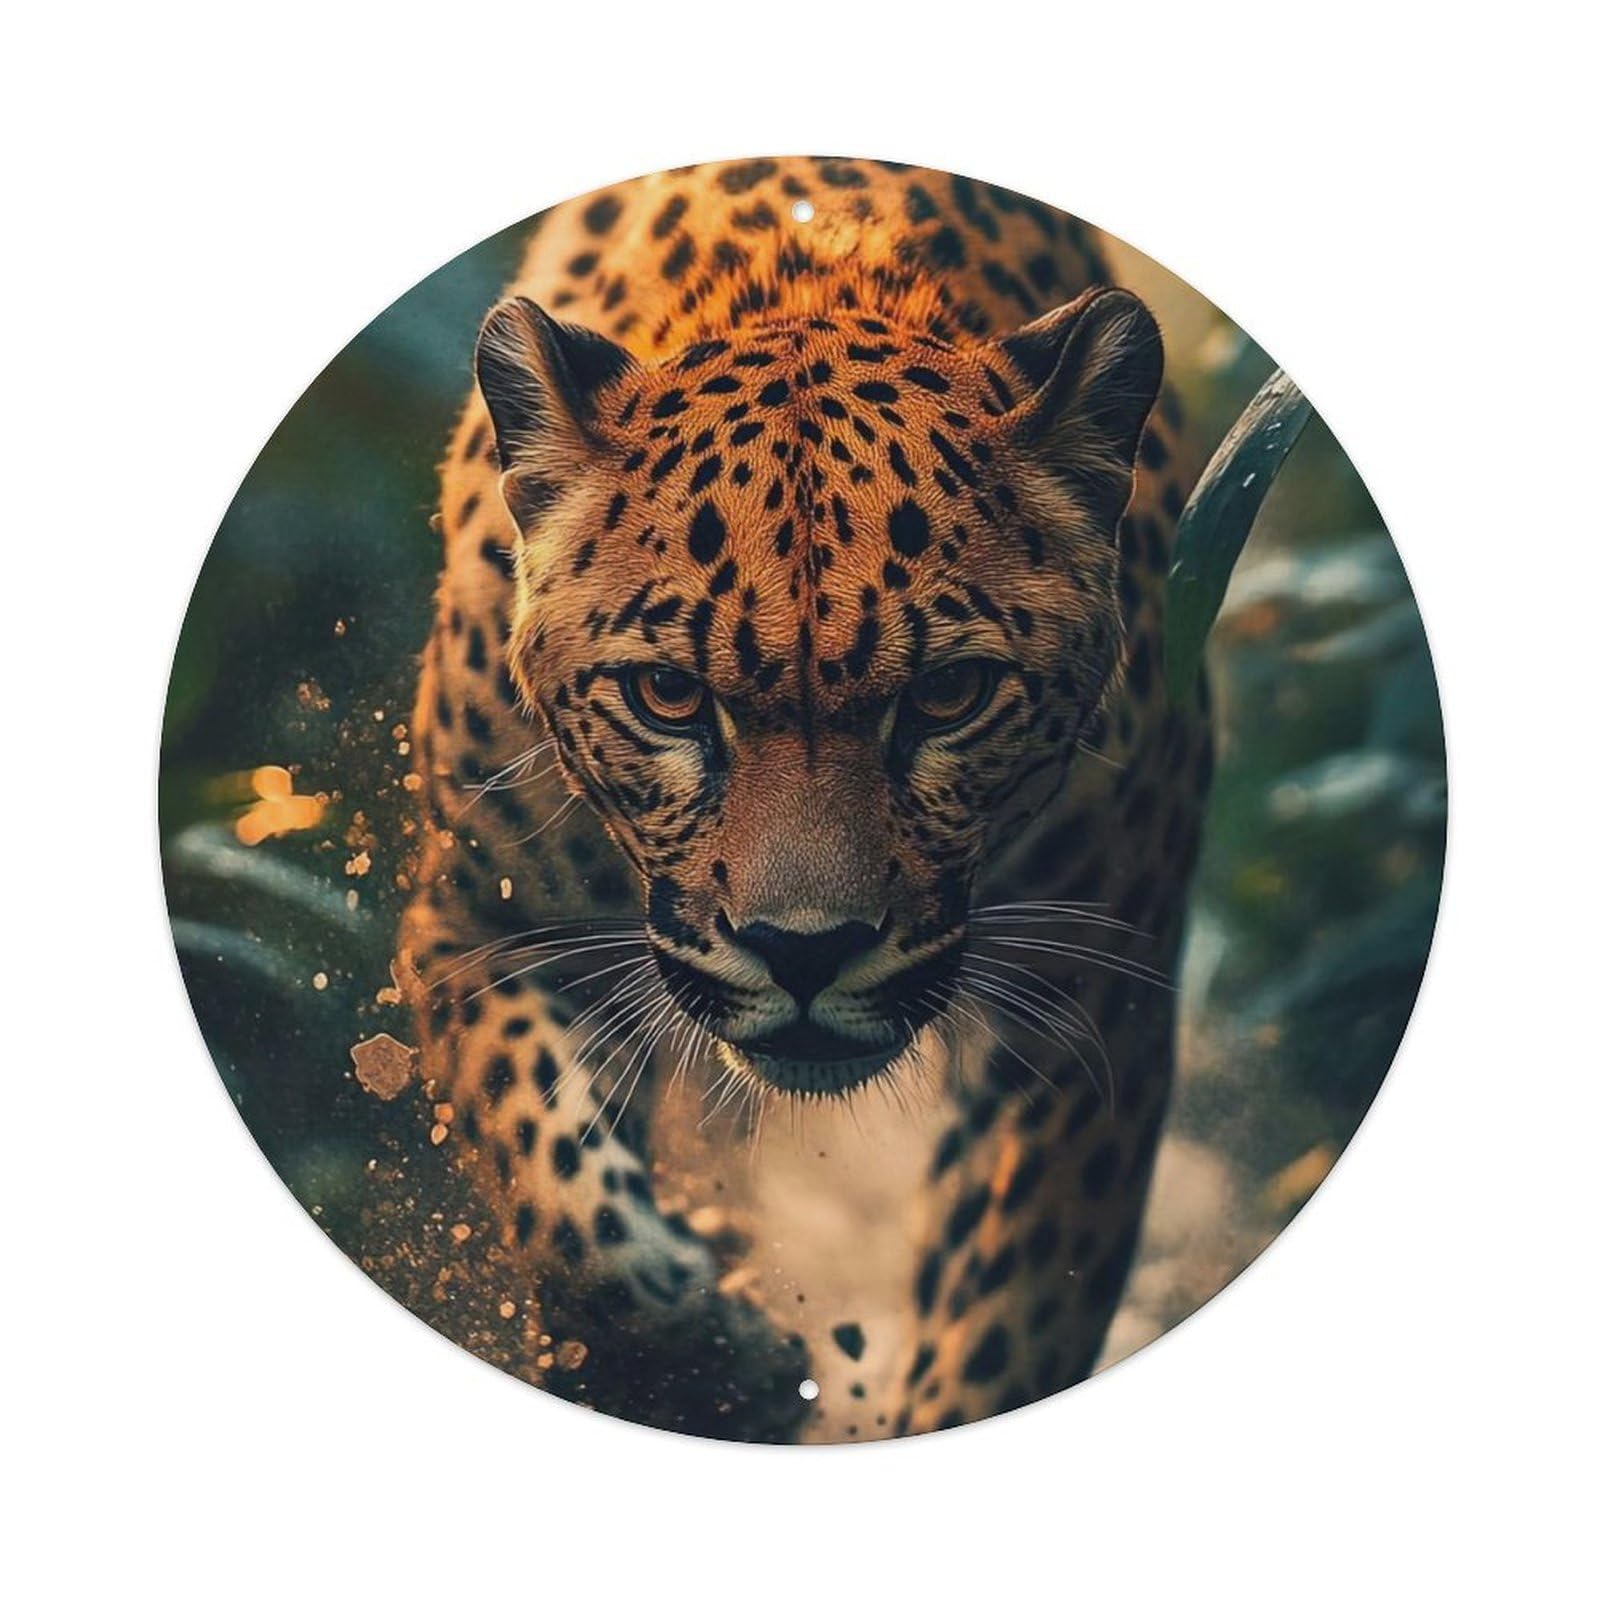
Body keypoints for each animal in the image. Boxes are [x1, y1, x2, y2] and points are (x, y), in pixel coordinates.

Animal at [397, 157, 1212, 1442]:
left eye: (950, 694)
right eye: (668, 695)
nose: (804, 951)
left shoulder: (1091, 1001)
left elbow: (1008, 1329)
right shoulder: (477, 922)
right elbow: (558, 1188)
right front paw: (714, 1360)